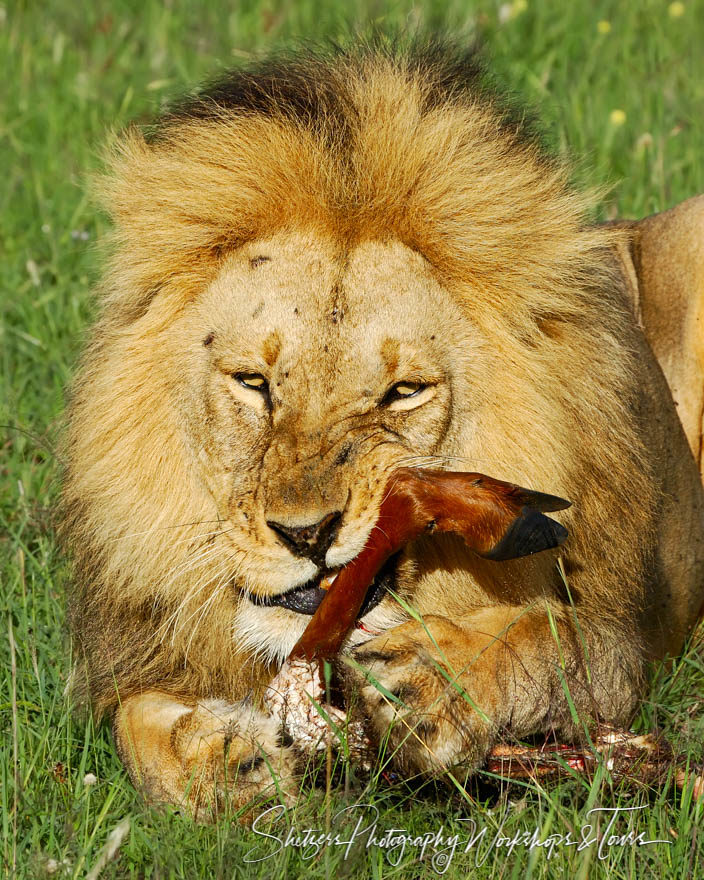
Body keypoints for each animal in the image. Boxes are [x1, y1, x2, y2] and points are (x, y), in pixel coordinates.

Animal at [62, 43, 704, 820]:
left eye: (403, 393)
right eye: (254, 384)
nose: (307, 535)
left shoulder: (619, 641)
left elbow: (543, 633)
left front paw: (437, 677)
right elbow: (134, 727)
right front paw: (223, 761)